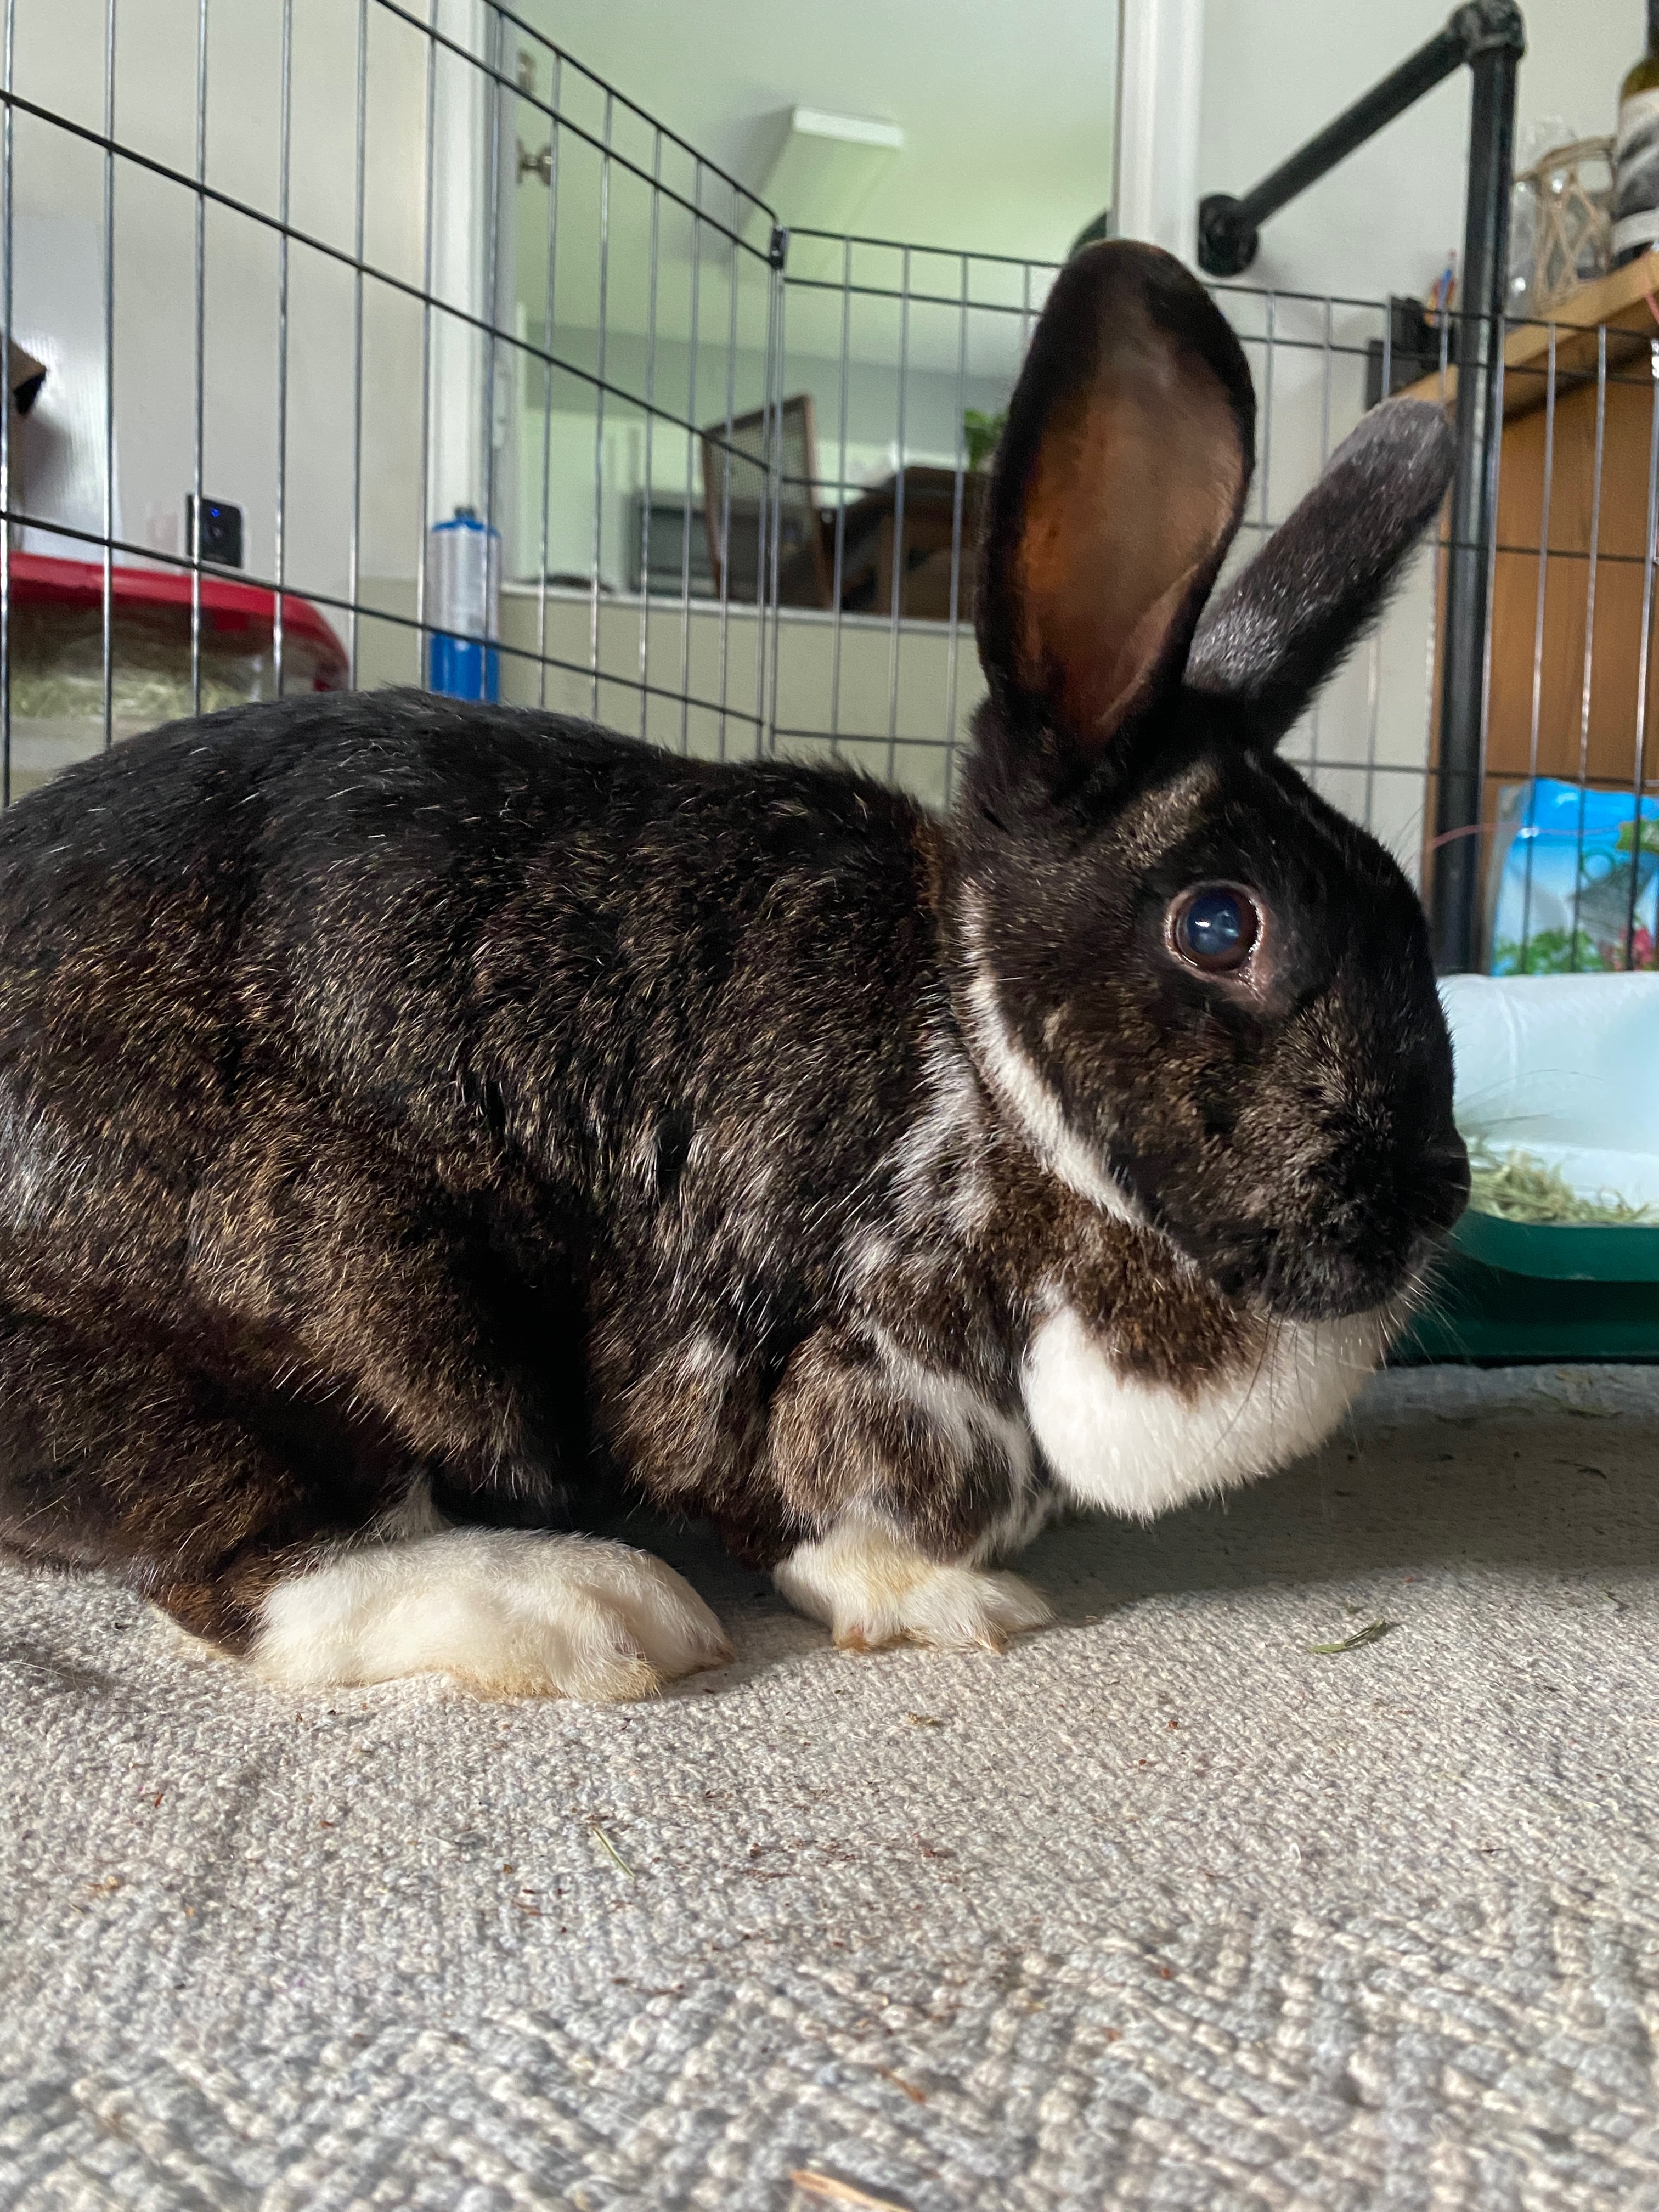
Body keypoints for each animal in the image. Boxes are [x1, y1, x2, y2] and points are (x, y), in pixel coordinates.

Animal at [0, 241, 1466, 1699]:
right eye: (1221, 928)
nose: (1438, 1190)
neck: (976, 1053)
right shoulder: (814, 1344)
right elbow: (804, 1506)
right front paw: (952, 1603)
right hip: (355, 1308)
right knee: (252, 1566)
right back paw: (583, 1608)